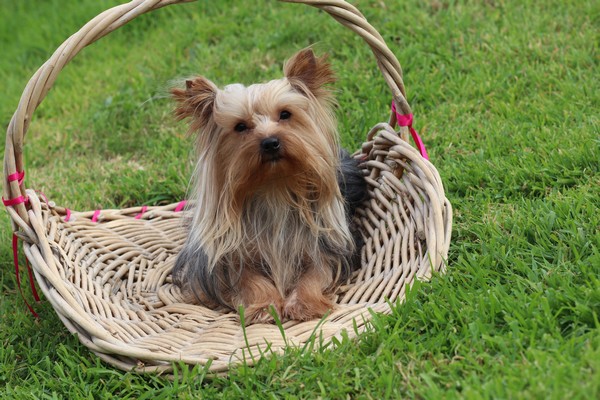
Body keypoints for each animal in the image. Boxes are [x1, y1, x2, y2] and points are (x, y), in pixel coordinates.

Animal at [171, 49, 367, 324]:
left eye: (285, 114)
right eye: (240, 126)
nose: (270, 142)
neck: (274, 186)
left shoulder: (328, 247)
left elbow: (317, 272)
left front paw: (305, 304)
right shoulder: (228, 258)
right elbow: (248, 278)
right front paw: (265, 306)